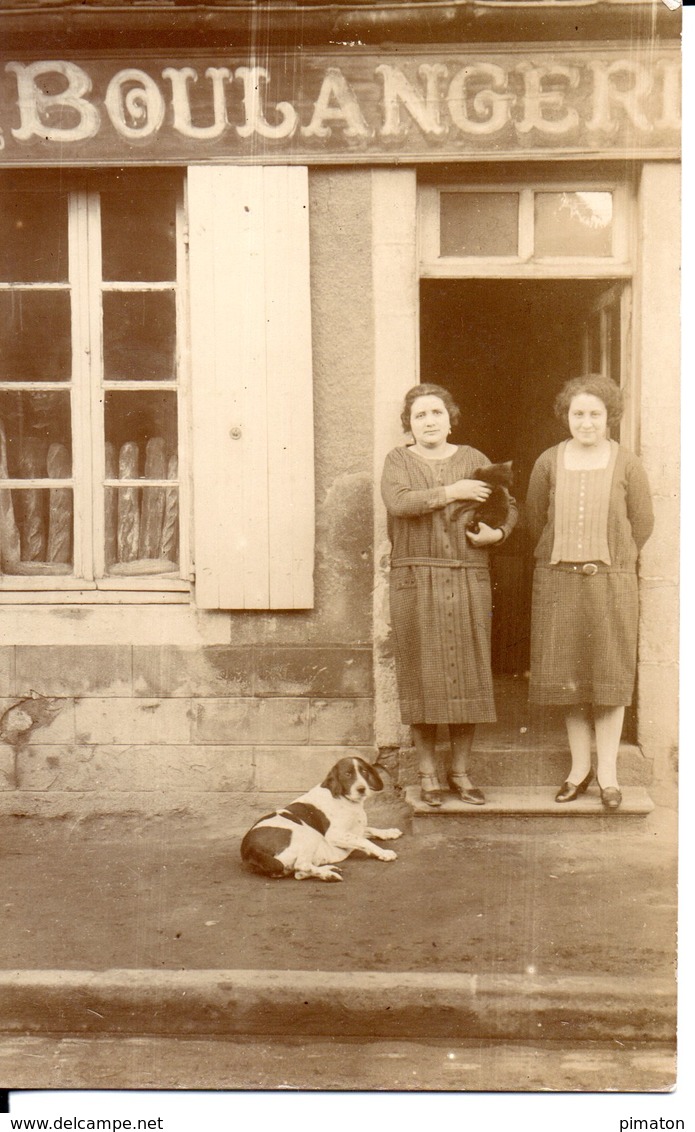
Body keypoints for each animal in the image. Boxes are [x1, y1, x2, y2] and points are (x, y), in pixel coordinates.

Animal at [241, 760, 402, 882]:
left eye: (364, 772)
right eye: (347, 774)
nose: (362, 789)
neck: (345, 799)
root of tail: (250, 848)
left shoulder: (356, 829)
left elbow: (371, 830)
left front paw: (390, 832)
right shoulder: (335, 834)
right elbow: (364, 840)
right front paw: (383, 852)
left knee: (299, 873)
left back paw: (327, 870)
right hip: (308, 835)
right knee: (301, 866)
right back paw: (329, 875)